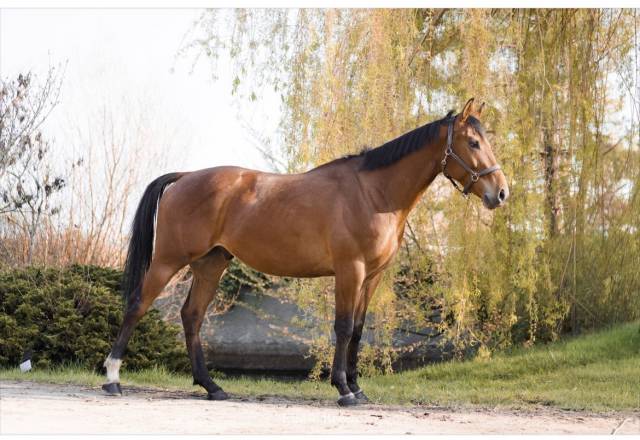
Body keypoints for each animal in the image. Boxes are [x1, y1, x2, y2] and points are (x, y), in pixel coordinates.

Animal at [102, 98, 509, 406]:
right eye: (473, 143)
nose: (501, 193)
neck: (373, 193)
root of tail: (185, 176)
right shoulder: (350, 270)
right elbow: (342, 327)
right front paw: (343, 389)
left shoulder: (372, 276)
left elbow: (359, 329)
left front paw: (357, 387)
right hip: (168, 260)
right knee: (138, 305)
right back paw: (112, 379)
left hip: (210, 264)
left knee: (192, 316)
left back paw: (212, 387)